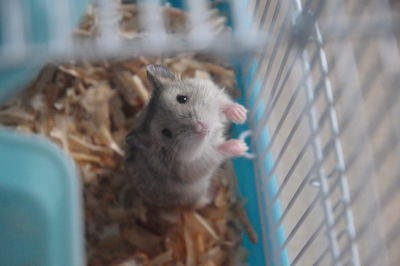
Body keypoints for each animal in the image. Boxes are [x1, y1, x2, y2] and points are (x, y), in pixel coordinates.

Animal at [126, 65, 248, 210]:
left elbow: (222, 101)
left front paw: (240, 115)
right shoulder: (194, 164)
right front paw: (241, 147)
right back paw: (213, 191)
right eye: (166, 133)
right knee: (198, 204)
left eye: (182, 98)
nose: (202, 127)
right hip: (194, 193)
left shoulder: (209, 88)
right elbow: (217, 151)